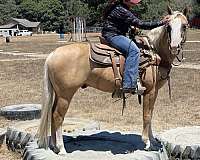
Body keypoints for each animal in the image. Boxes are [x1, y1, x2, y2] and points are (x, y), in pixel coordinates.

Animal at [37, 6, 189, 154]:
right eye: (168, 27)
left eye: (184, 26)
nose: (174, 47)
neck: (154, 52)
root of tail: (53, 54)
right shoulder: (149, 91)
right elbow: (147, 115)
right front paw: (147, 143)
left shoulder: (154, 92)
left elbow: (150, 114)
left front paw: (153, 141)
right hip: (65, 95)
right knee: (57, 116)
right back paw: (61, 148)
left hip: (59, 94)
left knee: (52, 114)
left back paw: (54, 145)